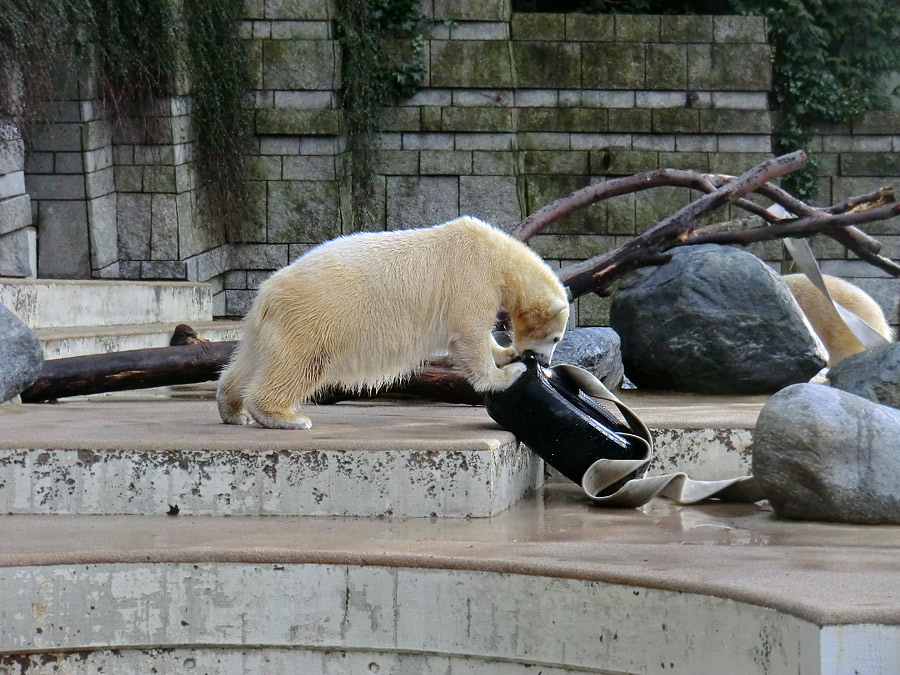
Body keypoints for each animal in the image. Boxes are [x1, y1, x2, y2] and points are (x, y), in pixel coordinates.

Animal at [218, 214, 568, 430]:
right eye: (556, 339)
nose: (542, 361)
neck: (496, 254)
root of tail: (265, 293)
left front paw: (507, 353)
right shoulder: (472, 278)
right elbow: (469, 335)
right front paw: (508, 373)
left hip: (269, 326)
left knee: (248, 361)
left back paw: (233, 410)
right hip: (313, 318)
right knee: (299, 364)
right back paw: (285, 416)